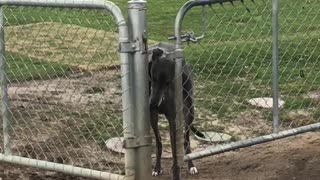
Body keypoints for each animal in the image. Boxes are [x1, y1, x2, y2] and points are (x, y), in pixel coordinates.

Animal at [148, 41, 204, 179]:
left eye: (168, 82)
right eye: (154, 78)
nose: (153, 104)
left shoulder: (172, 119)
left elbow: (175, 153)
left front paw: (176, 173)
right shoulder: (152, 115)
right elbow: (159, 142)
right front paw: (157, 167)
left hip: (189, 111)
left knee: (186, 140)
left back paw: (191, 165)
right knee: (160, 142)